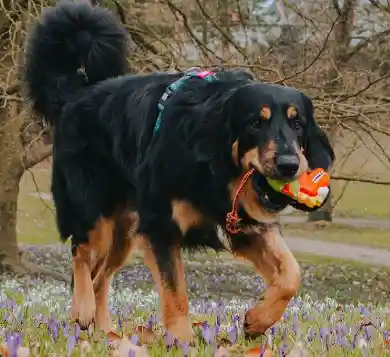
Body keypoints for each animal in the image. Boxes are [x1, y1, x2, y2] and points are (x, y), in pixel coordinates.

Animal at [24, 0, 336, 340]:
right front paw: (182, 340)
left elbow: (292, 274)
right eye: (255, 123)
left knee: (101, 276)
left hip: (125, 232)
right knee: (80, 254)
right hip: (95, 213)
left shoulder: (240, 225)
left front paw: (258, 319)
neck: (215, 168)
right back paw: (82, 310)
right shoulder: (161, 227)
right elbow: (176, 291)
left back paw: (106, 332)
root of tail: (76, 94)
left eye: (298, 124)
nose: (289, 165)